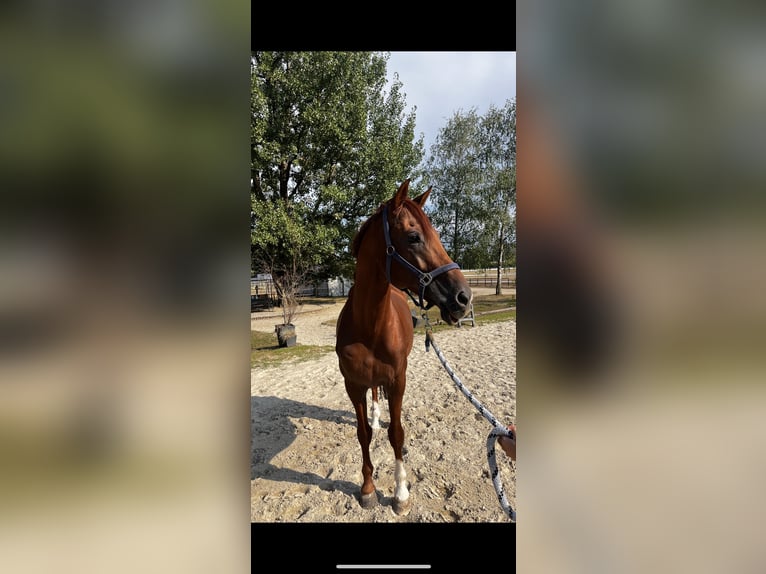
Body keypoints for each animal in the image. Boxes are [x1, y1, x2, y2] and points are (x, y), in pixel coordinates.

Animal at [335, 178, 472, 514]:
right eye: (413, 237)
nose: (464, 297)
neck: (369, 326)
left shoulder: (398, 380)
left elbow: (396, 433)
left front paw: (400, 494)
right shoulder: (353, 385)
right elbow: (363, 433)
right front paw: (368, 489)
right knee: (374, 398)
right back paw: (375, 414)